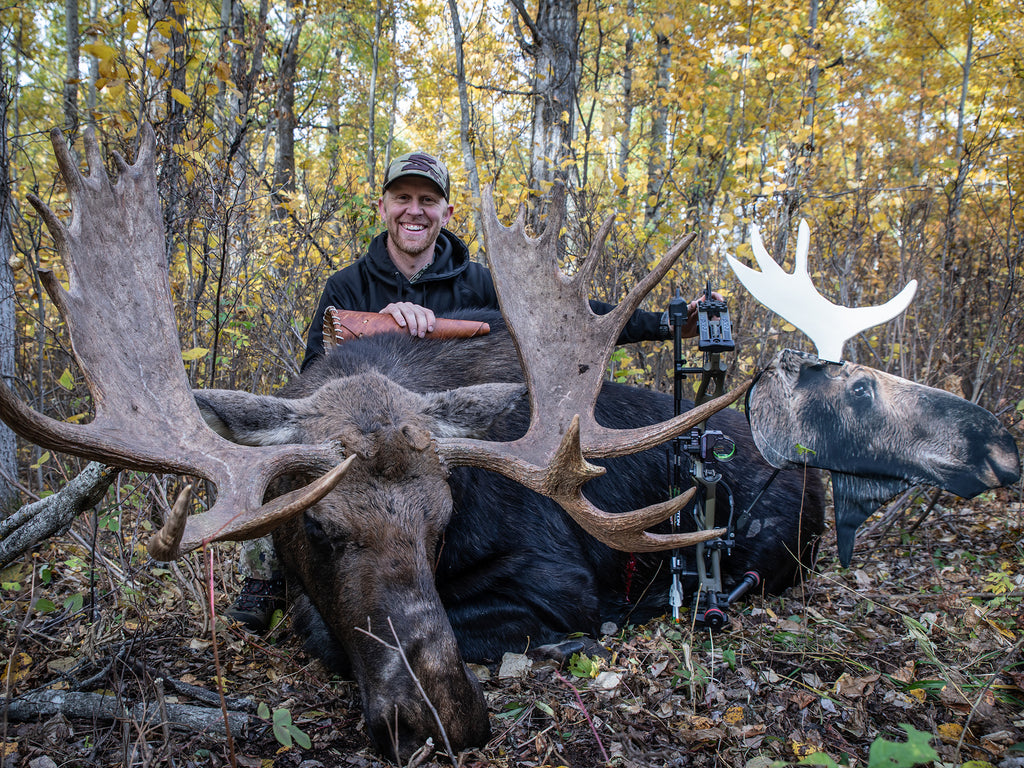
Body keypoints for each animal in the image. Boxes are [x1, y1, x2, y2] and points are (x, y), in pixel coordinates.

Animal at [0, 129, 1015, 761]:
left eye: (442, 518)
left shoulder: (555, 582)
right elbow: (307, 619)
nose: (444, 718)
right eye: (318, 527)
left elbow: (338, 632)